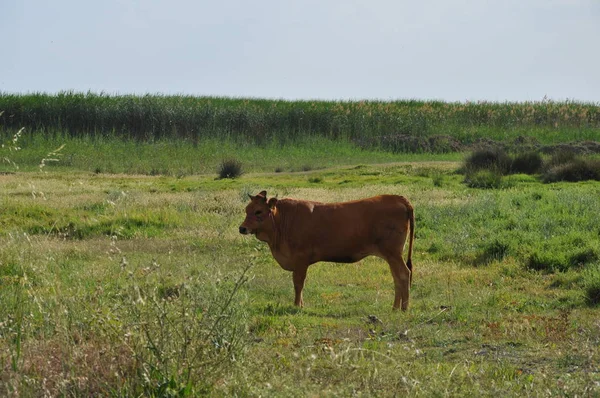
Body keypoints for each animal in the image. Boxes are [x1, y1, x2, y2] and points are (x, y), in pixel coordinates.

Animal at [237, 191, 414, 310]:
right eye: (246, 209)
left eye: (258, 211)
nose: (242, 228)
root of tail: (398, 198)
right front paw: (301, 304)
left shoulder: (300, 259)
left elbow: (298, 283)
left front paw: (297, 305)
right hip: (392, 256)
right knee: (397, 277)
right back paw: (395, 308)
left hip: (393, 253)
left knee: (404, 274)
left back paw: (404, 309)